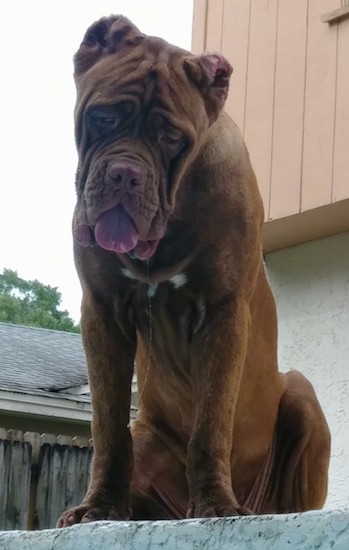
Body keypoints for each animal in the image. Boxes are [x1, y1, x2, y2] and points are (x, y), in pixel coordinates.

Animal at [57, 15, 328, 528]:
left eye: (170, 138)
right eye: (103, 117)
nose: (125, 174)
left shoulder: (223, 313)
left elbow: (211, 421)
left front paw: (217, 506)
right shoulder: (102, 312)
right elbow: (107, 426)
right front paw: (98, 508)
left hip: (302, 395)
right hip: (148, 436)